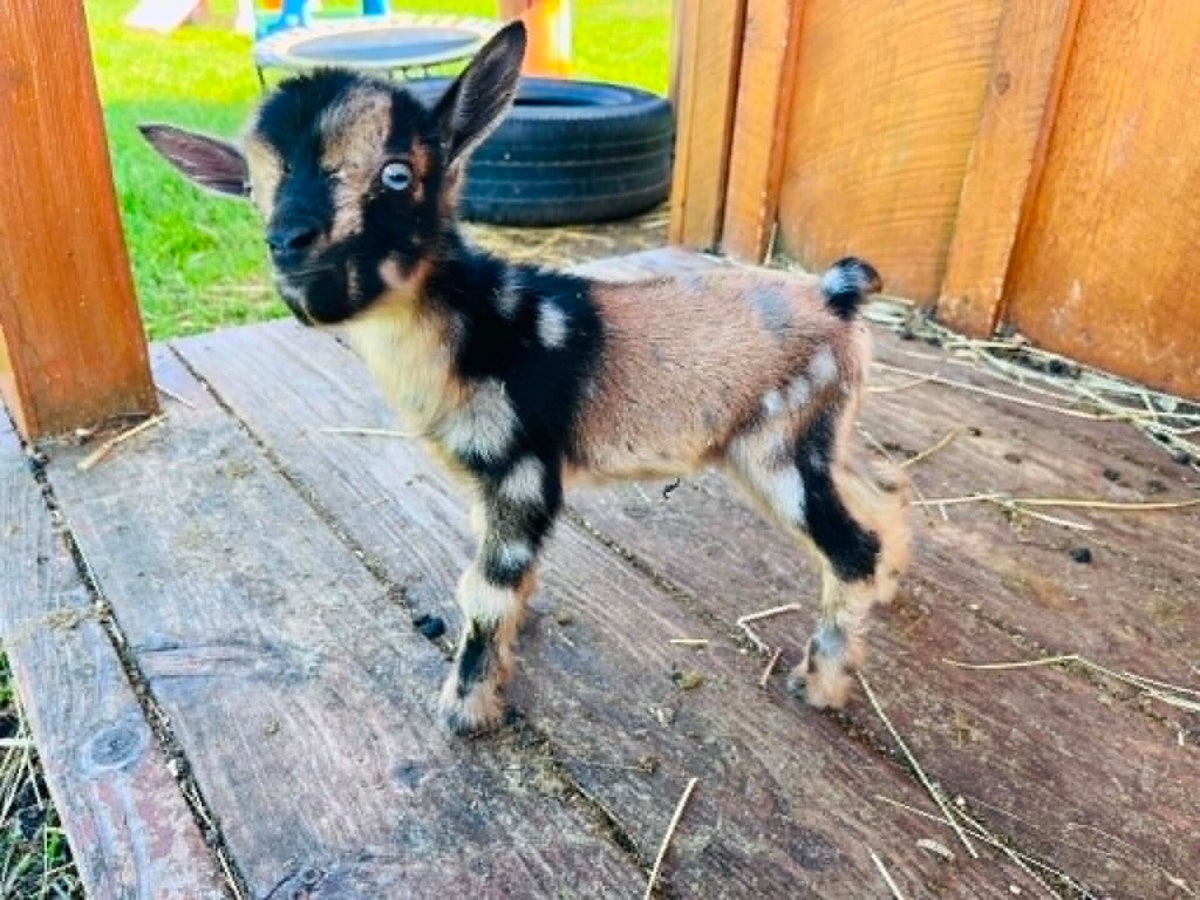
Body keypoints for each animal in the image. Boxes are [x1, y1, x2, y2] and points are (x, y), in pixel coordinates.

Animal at [141, 21, 909, 735]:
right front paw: (515, 637)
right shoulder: (489, 481)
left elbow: (486, 588)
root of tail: (837, 295)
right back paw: (891, 590)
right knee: (885, 489)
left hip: (781, 447)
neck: (480, 324)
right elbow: (492, 578)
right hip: (819, 431)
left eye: (398, 173)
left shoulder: (522, 467)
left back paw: (823, 683)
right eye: (252, 190)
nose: (290, 251)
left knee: (852, 548)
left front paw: (466, 712)